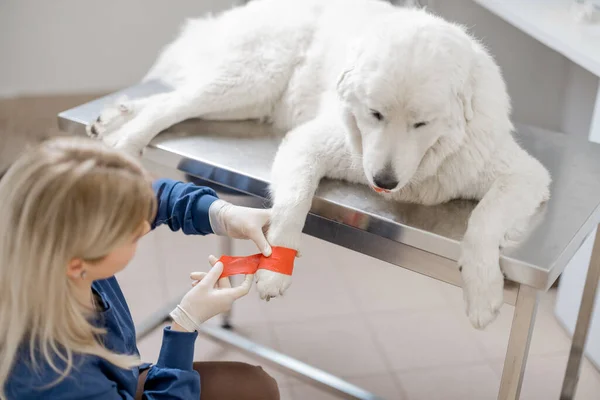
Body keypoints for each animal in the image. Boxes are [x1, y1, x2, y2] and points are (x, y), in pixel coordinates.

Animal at [86, 0, 552, 328]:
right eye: (375, 114)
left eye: (421, 123)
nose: (383, 180)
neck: (423, 163)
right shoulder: (309, 143)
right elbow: (295, 203)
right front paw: (276, 271)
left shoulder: (522, 174)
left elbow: (485, 221)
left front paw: (482, 290)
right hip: (250, 80)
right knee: (171, 106)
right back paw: (124, 144)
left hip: (247, 100)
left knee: (168, 100)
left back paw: (112, 118)